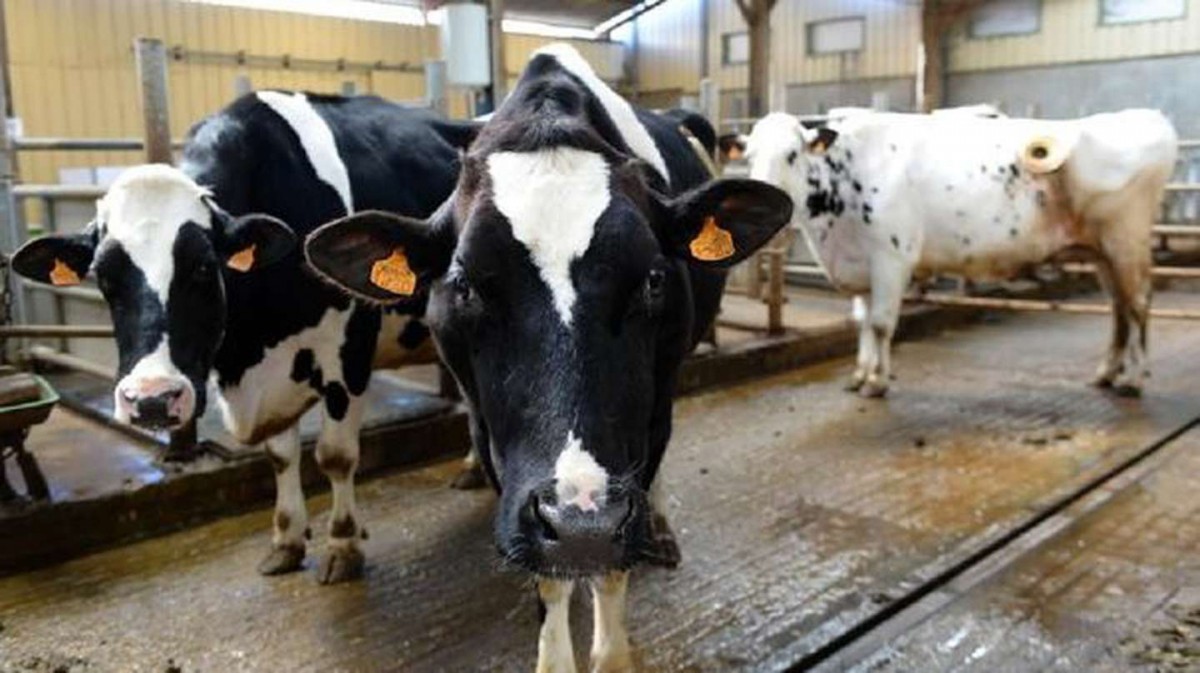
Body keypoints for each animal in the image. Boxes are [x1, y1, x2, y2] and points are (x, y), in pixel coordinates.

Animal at [11, 91, 478, 583]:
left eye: (202, 267)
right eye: (104, 278)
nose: (153, 399)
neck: (249, 346)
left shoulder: (347, 354)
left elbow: (334, 455)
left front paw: (343, 544)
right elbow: (280, 455)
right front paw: (286, 541)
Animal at [304, 44, 793, 671]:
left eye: (653, 278)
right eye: (463, 285)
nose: (583, 522)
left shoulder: (646, 424)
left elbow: (611, 567)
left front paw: (613, 653)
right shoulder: (496, 441)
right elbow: (547, 576)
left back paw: (659, 530)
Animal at [745, 109, 1177, 398]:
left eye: (792, 154)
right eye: (747, 156)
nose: (764, 202)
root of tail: (1146, 116)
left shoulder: (891, 258)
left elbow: (882, 324)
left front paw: (878, 382)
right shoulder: (860, 265)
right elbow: (863, 323)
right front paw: (860, 375)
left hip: (1126, 240)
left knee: (1139, 303)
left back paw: (1133, 379)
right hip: (1102, 251)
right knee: (1120, 307)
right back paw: (1108, 373)